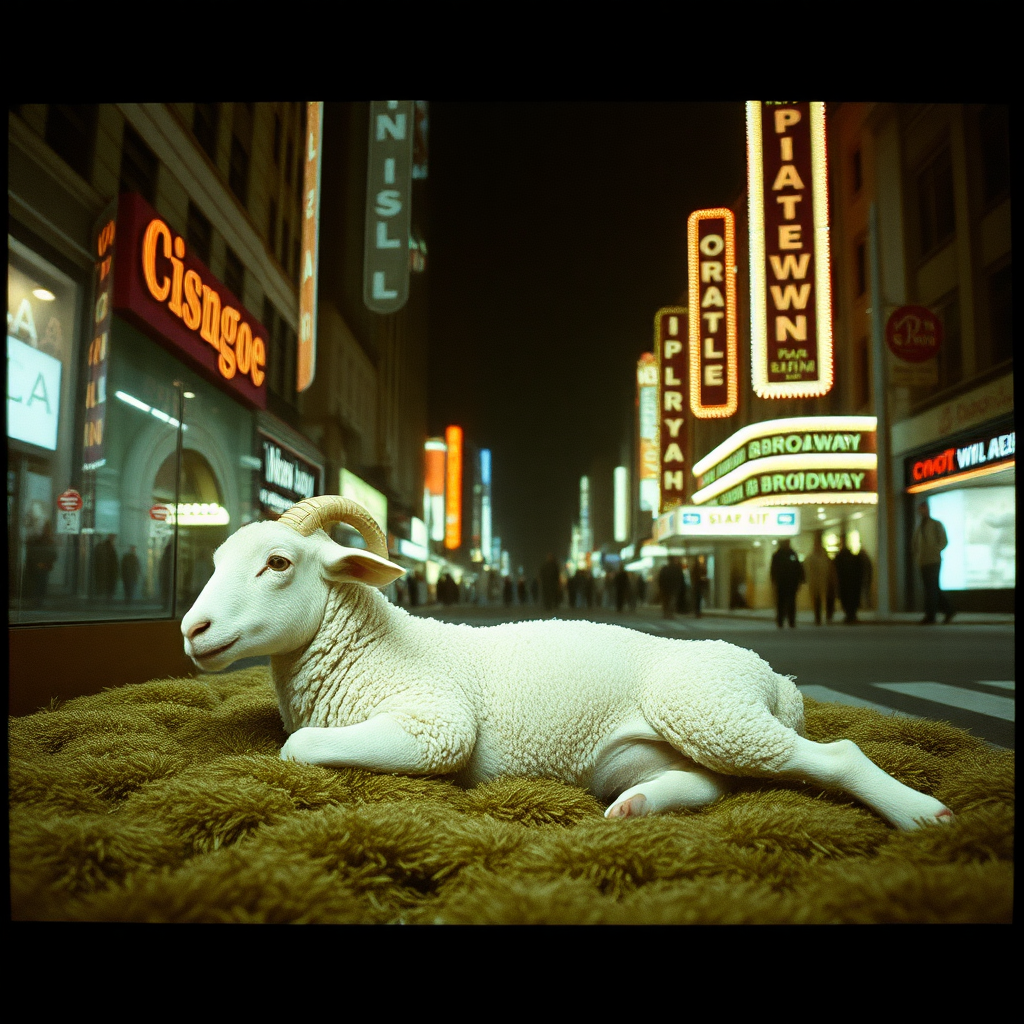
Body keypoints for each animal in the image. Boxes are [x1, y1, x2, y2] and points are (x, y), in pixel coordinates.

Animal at [180, 497, 954, 831]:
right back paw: (639, 806)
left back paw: (923, 816)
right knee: (717, 783)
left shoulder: (437, 725)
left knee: (834, 756)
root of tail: (780, 682)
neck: (372, 645)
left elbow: (300, 748)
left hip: (711, 707)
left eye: (279, 563)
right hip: (677, 737)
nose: (192, 629)